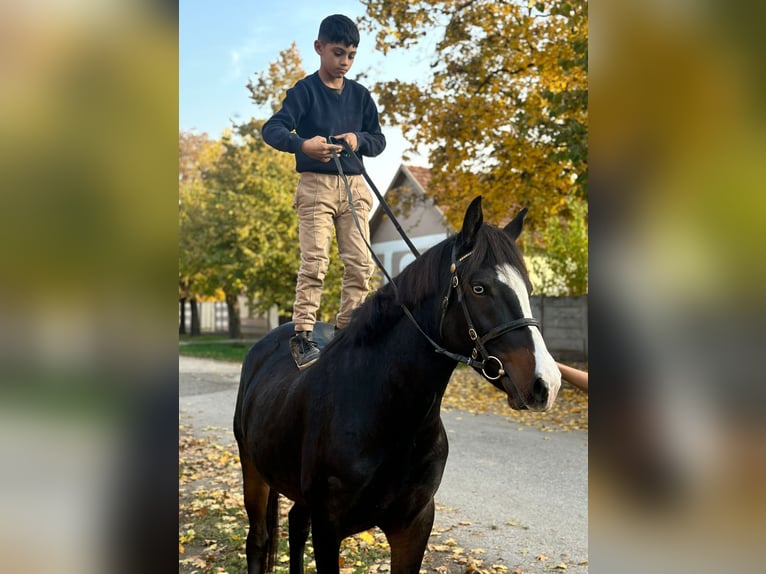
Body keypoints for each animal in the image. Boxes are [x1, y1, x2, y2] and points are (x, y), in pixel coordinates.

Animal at [234, 198, 564, 574]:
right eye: (479, 287)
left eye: (529, 288)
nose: (546, 383)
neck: (386, 413)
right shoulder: (328, 527)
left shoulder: (414, 525)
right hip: (253, 469)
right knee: (258, 540)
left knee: (294, 524)